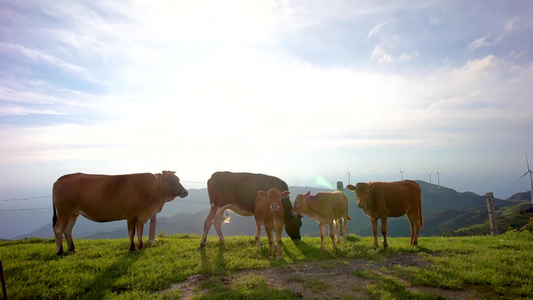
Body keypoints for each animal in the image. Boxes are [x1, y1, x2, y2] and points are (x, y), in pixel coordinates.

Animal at [52, 170, 188, 254]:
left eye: (178, 179)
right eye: (170, 179)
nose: (185, 192)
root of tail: (63, 178)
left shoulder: (141, 216)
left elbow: (140, 231)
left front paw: (140, 247)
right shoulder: (131, 215)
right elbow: (132, 232)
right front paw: (132, 248)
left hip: (73, 213)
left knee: (67, 229)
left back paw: (73, 249)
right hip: (64, 211)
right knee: (58, 229)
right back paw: (59, 252)